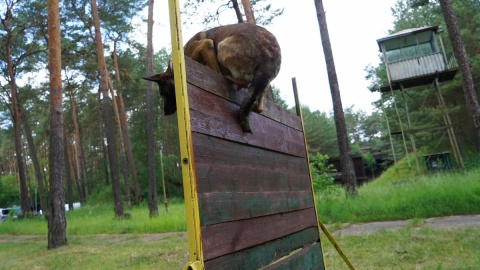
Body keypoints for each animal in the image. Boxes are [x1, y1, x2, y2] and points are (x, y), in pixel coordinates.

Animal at [144, 23, 284, 133]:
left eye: (163, 93)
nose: (165, 112)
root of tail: (269, 57)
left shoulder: (207, 45)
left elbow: (215, 71)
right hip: (264, 83)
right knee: (260, 106)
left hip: (222, 47)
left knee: (240, 82)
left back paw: (231, 78)